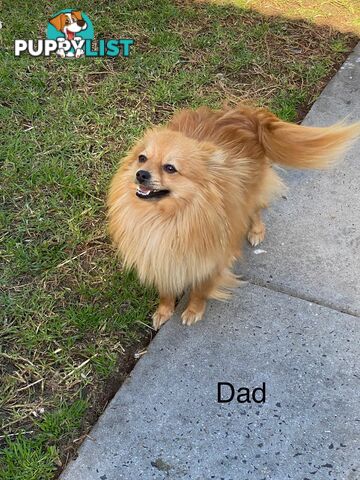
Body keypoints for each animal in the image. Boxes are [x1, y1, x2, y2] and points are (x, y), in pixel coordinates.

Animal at [107, 105, 360, 330]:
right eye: (142, 158)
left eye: (170, 168)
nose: (141, 174)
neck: (166, 217)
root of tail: (247, 116)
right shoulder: (158, 256)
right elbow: (166, 290)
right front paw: (164, 311)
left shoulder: (212, 258)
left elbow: (201, 289)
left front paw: (194, 310)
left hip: (251, 194)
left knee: (255, 211)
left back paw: (256, 231)